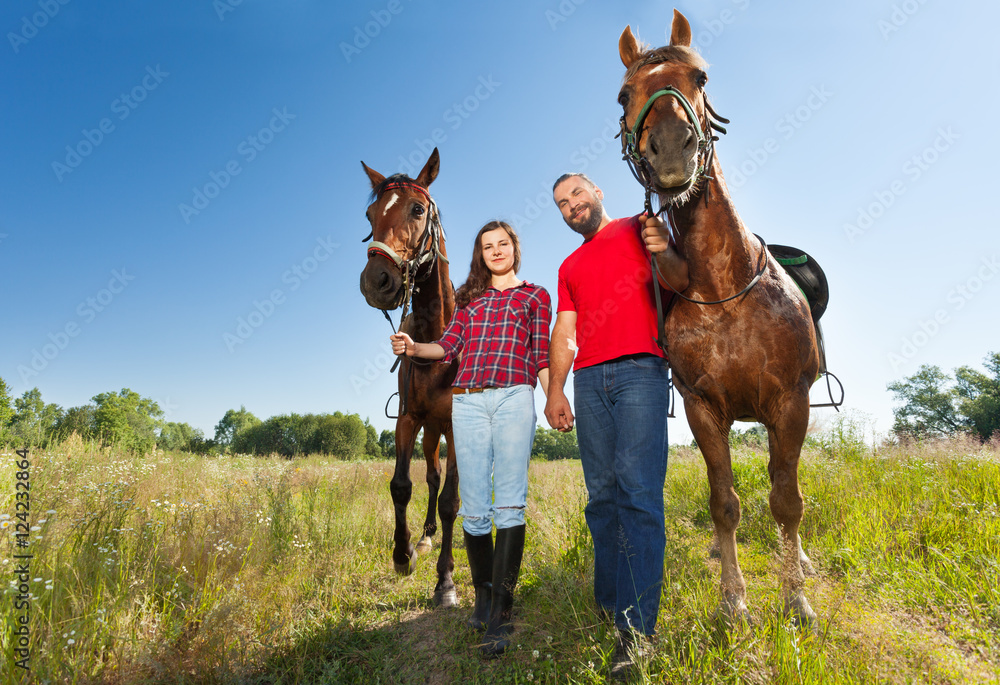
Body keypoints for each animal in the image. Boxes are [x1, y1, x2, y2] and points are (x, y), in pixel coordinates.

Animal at [616, 10, 820, 624]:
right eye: (624, 94)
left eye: (701, 77)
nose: (670, 150)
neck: (725, 291)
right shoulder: (704, 409)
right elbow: (723, 502)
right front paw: (733, 600)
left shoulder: (790, 404)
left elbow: (787, 500)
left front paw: (794, 596)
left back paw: (801, 563)